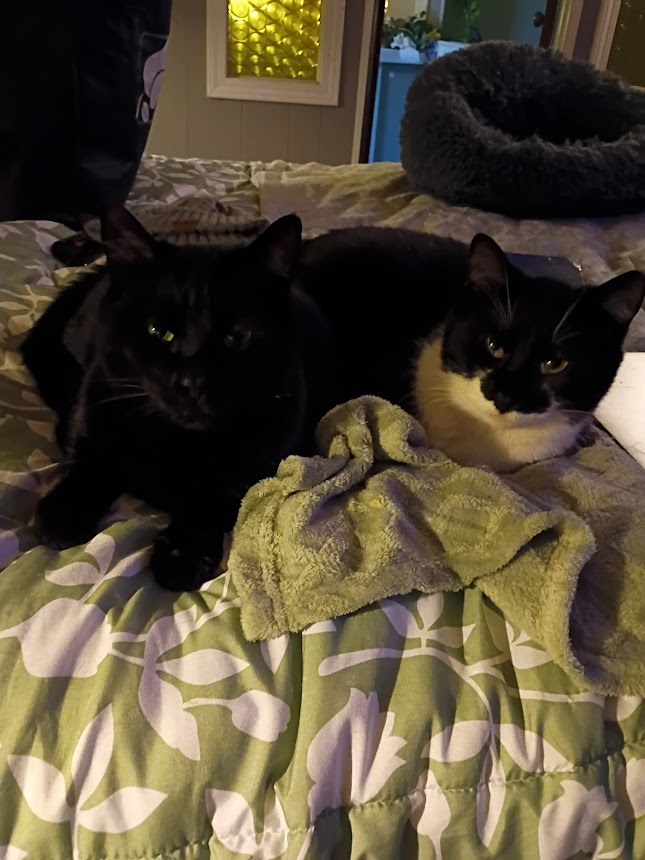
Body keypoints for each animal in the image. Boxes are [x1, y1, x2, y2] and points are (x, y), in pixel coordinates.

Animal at [21, 207, 334, 591]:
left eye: (236, 337)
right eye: (159, 332)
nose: (193, 382)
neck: (178, 443)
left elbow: (215, 499)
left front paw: (182, 554)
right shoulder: (96, 406)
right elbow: (93, 461)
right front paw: (64, 511)